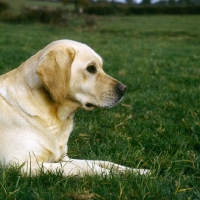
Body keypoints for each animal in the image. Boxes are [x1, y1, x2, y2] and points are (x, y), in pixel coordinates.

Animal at [0, 39, 150, 176]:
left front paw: (138, 172)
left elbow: (104, 162)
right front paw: (113, 175)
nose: (124, 89)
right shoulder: (22, 165)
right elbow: (88, 166)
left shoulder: (64, 159)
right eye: (91, 68)